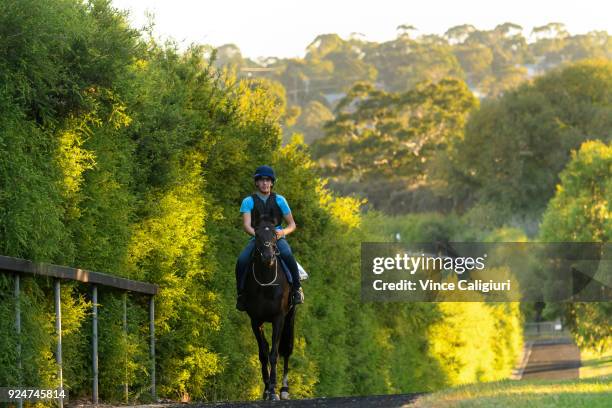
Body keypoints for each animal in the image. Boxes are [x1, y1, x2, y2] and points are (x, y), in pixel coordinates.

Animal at [246, 218, 298, 400]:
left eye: (275, 235)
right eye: (257, 235)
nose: (268, 257)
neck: (266, 282)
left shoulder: (278, 318)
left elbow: (274, 353)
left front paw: (274, 391)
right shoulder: (255, 320)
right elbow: (263, 353)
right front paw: (267, 389)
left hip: (290, 318)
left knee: (286, 349)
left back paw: (284, 390)